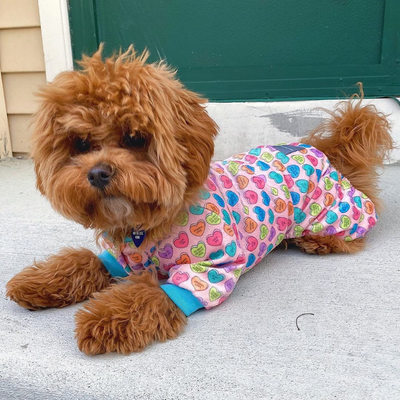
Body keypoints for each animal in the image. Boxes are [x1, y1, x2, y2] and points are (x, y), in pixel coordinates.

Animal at [6, 45, 394, 354]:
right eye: (82, 144)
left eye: (134, 138)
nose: (98, 173)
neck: (147, 224)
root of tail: (318, 148)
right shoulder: (120, 258)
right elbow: (83, 262)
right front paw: (40, 282)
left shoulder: (209, 268)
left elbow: (149, 294)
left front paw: (102, 319)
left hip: (333, 211)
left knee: (364, 214)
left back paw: (319, 241)